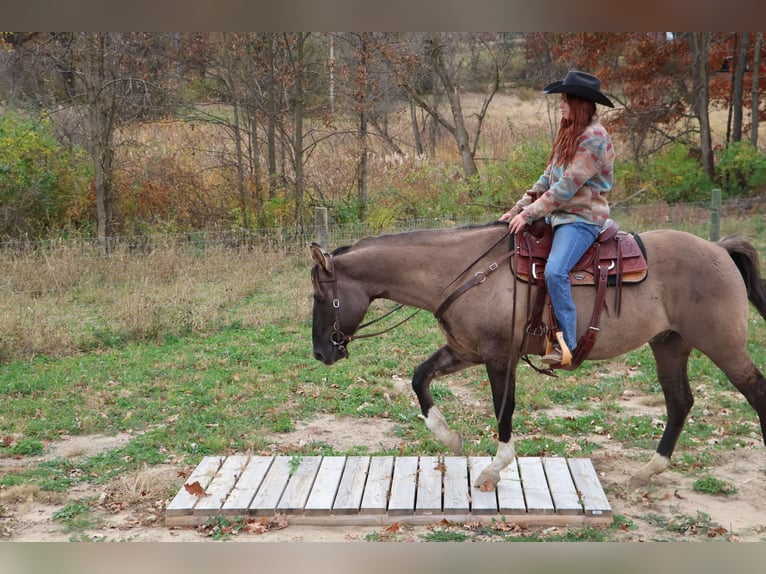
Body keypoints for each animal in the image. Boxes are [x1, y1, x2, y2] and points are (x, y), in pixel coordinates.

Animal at [310, 221, 766, 491]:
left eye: (321, 297)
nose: (319, 352)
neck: (464, 272)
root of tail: (719, 249)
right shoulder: (465, 350)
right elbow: (420, 377)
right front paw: (449, 436)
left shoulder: (499, 357)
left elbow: (503, 409)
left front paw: (494, 468)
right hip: (669, 344)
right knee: (679, 402)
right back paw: (648, 470)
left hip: (724, 346)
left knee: (755, 393)